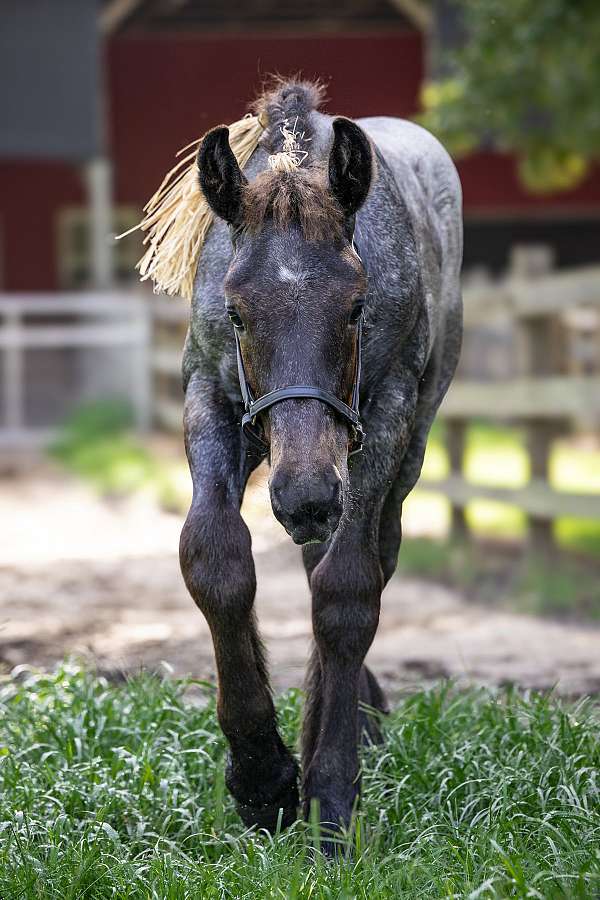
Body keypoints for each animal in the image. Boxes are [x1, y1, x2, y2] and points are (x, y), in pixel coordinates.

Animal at [178, 78, 463, 848]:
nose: (305, 496)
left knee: (372, 554)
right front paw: (262, 778)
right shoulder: (209, 395)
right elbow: (214, 561)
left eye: (358, 307)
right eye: (236, 313)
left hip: (405, 448)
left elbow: (348, 592)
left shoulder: (385, 417)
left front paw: (329, 797)